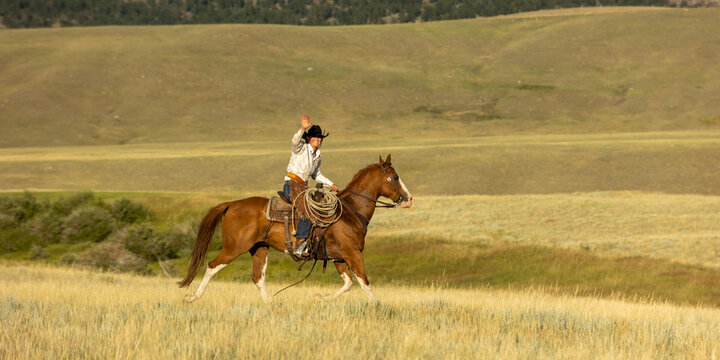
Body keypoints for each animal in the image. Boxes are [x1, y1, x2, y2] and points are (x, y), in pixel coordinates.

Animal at [178, 155, 414, 304]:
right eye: (394, 177)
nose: (408, 198)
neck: (349, 212)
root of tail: (232, 204)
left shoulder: (338, 258)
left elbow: (348, 284)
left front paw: (320, 298)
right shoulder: (352, 254)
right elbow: (364, 282)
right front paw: (377, 306)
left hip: (259, 248)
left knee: (258, 277)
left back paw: (271, 304)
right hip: (234, 247)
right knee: (212, 266)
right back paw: (192, 297)